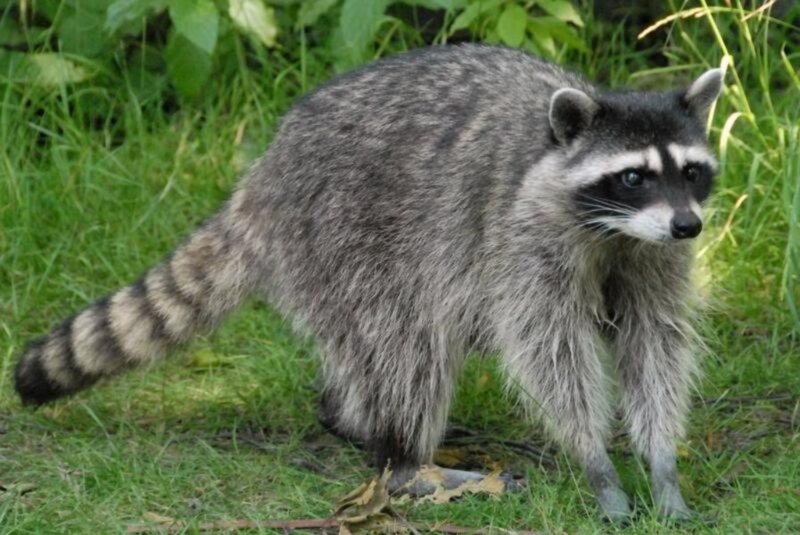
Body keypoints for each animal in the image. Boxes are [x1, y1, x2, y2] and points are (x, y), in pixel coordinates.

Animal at [14, 44, 722, 521]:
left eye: (691, 171)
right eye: (632, 176)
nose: (688, 225)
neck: (616, 231)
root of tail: (265, 176)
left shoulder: (652, 258)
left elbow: (655, 343)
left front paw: (660, 459)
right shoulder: (522, 237)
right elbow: (550, 351)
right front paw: (595, 458)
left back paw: (356, 420)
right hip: (351, 234)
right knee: (408, 344)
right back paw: (406, 463)